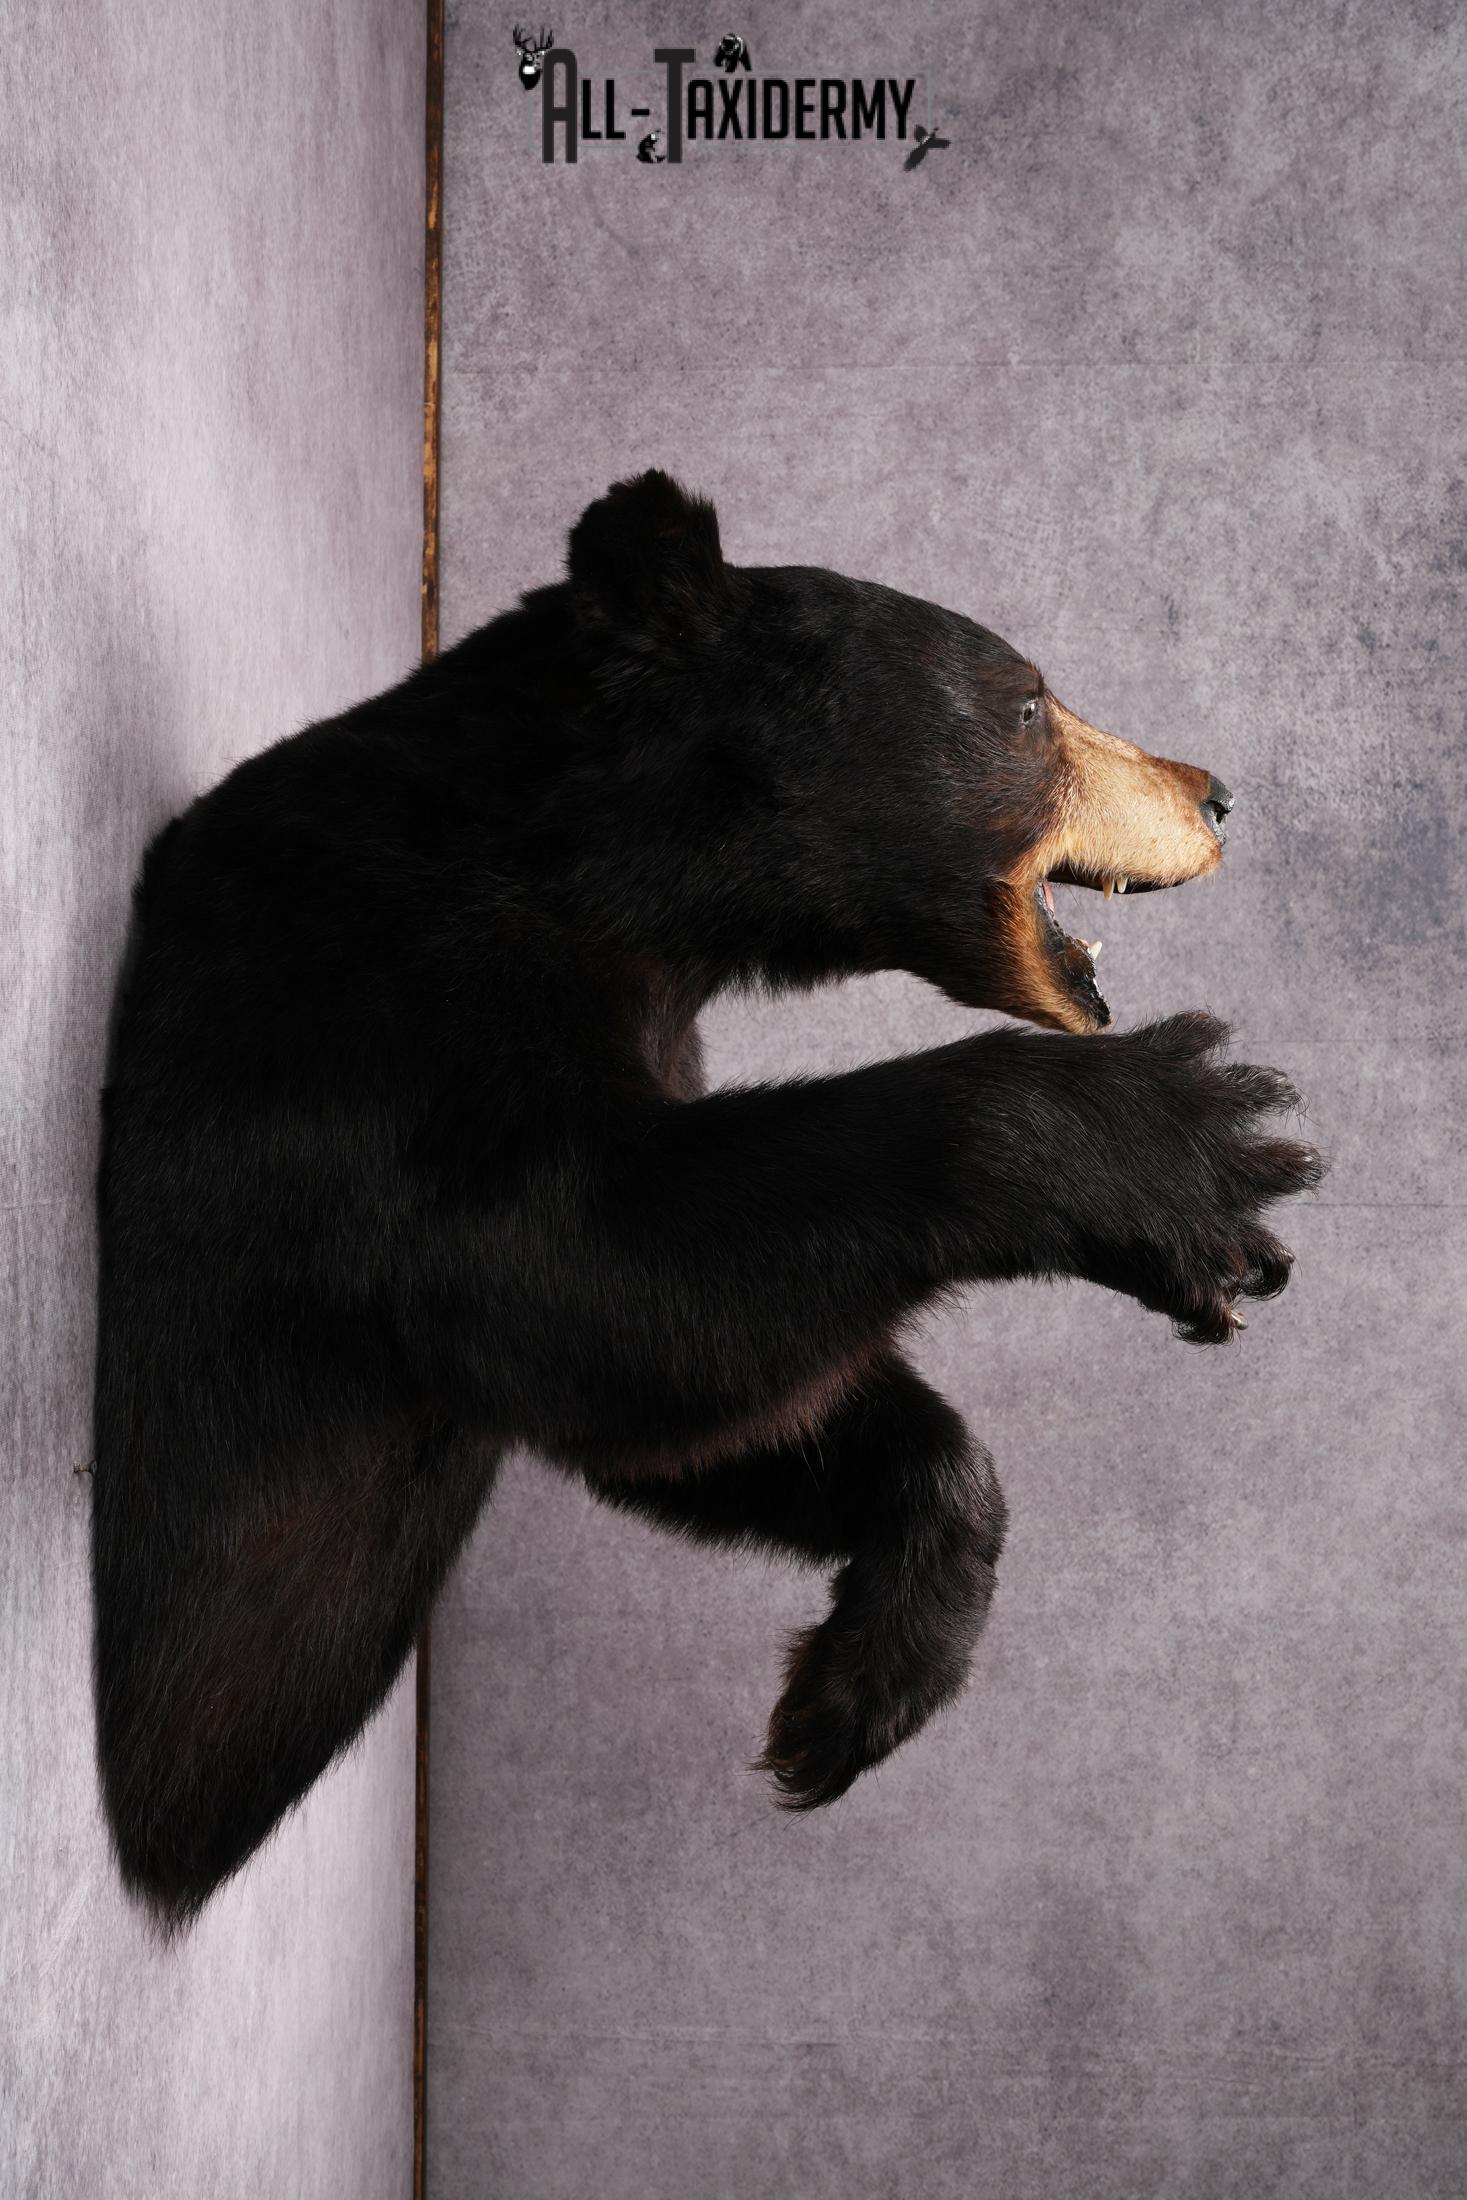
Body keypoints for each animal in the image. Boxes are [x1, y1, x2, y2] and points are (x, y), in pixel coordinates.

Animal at [92, 469, 1324, 1924]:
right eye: (1027, 702)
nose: (1217, 793)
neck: (614, 882)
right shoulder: (371, 1000)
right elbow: (572, 1275)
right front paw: (1187, 1144)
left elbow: (692, 1408)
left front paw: (855, 1691)